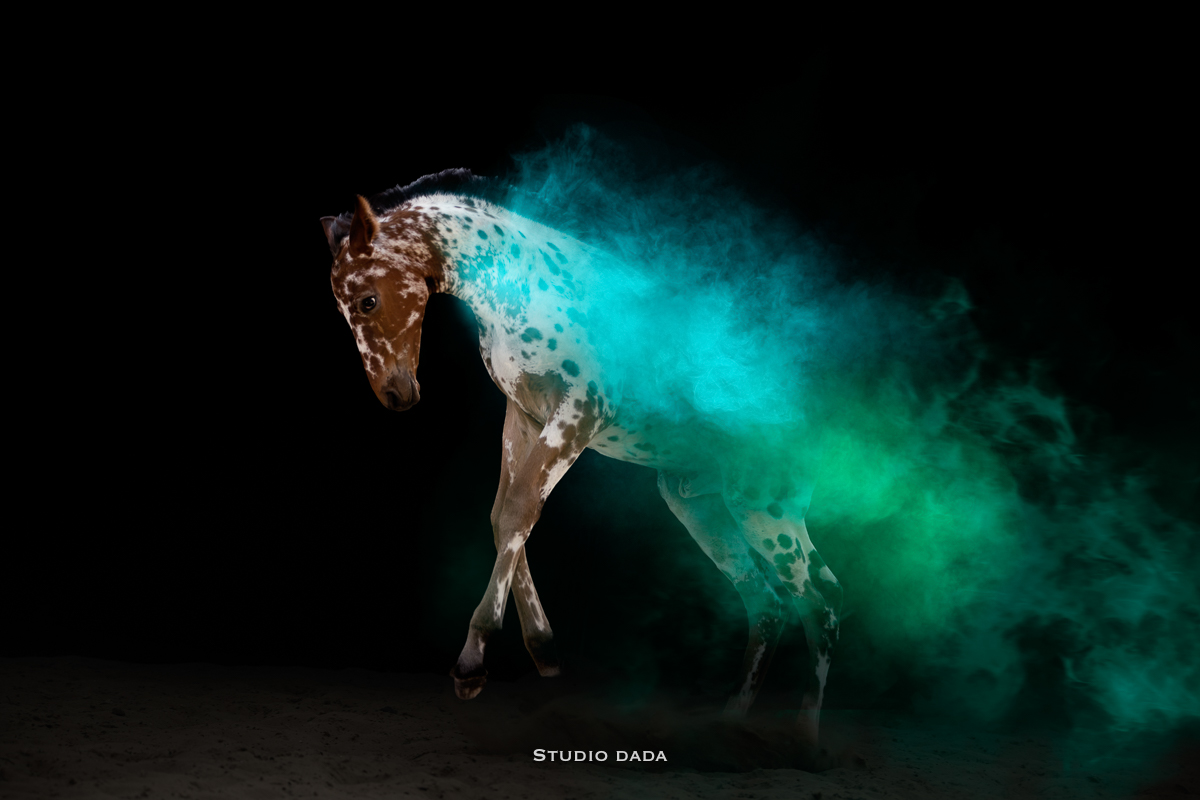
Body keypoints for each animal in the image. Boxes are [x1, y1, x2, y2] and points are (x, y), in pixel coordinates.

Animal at [321, 169, 843, 745]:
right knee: (766, 601)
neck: (527, 289)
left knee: (821, 601)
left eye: (368, 301)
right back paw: (729, 726)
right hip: (700, 507)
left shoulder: (578, 413)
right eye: (343, 308)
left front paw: (472, 663)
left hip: (765, 508)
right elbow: (503, 516)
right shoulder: (522, 415)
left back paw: (805, 737)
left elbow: (521, 509)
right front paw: (544, 650)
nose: (396, 395)